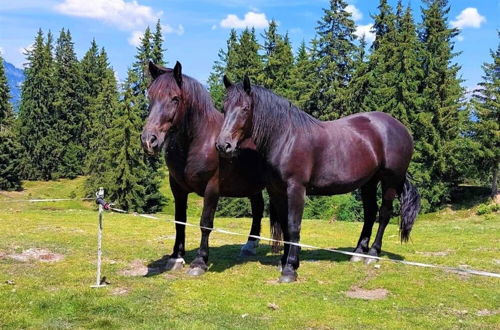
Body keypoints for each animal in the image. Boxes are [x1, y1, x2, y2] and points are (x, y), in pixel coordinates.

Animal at [141, 63, 282, 274]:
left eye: (175, 98)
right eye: (150, 96)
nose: (149, 140)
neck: (197, 141)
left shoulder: (212, 188)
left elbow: (205, 223)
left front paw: (200, 261)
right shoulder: (177, 188)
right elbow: (179, 221)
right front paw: (176, 257)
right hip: (251, 186)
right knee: (257, 207)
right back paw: (250, 245)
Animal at [217, 76, 420, 282]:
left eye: (245, 108)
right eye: (224, 107)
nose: (223, 145)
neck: (286, 138)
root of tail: (401, 128)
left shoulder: (296, 188)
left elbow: (293, 225)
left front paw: (290, 269)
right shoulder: (276, 191)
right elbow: (285, 225)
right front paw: (285, 261)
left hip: (390, 181)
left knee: (384, 213)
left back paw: (372, 254)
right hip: (369, 182)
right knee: (370, 213)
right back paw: (358, 253)